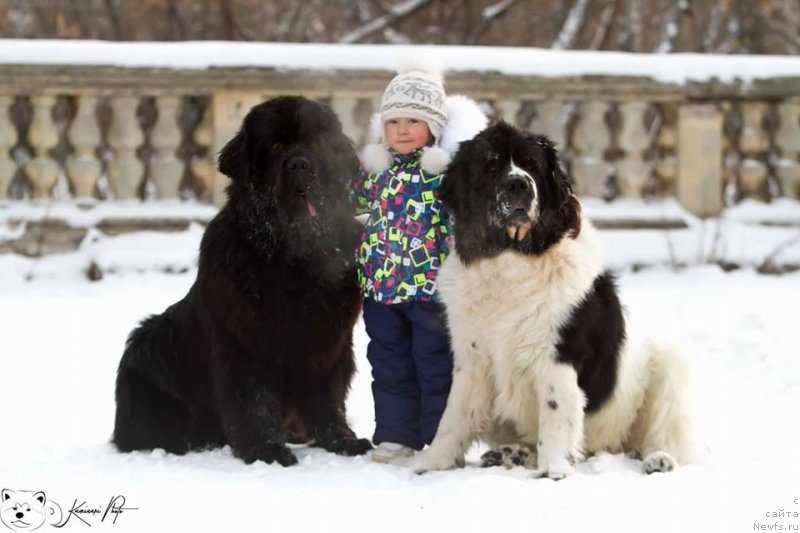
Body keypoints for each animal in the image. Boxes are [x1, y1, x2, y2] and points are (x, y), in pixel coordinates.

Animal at [112, 96, 372, 466]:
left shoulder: (328, 346)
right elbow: (253, 399)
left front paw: (342, 440)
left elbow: (327, 398)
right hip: (147, 346)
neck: (292, 257)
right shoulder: (245, 347)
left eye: (315, 142)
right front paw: (265, 449)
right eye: (276, 146)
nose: (299, 165)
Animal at [416, 123, 696, 478]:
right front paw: (432, 464)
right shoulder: (472, 357)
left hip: (667, 364)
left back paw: (659, 459)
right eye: (491, 166)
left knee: (660, 435)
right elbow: (454, 415)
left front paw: (554, 471)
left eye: (532, 165)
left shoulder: (557, 356)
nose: (518, 184)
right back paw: (510, 454)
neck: (511, 258)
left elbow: (554, 413)